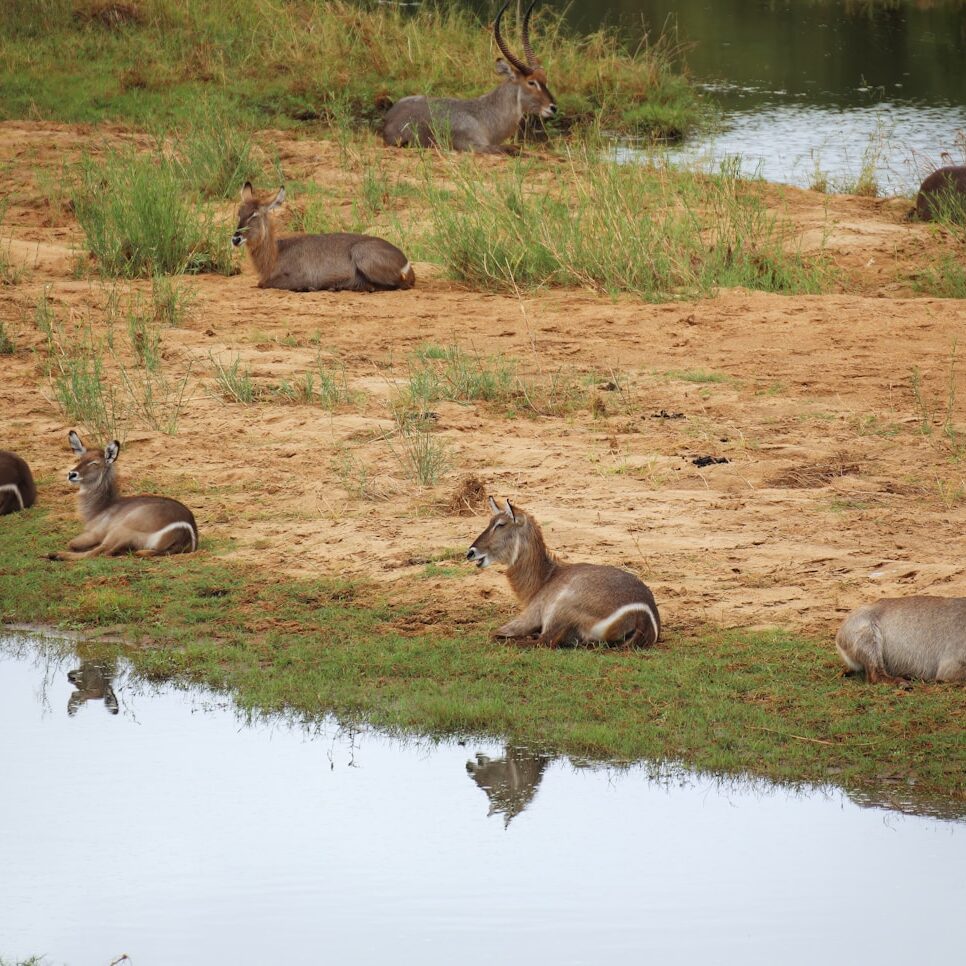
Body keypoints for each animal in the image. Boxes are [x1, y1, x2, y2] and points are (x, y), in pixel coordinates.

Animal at [52, 432, 199, 564]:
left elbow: (72, 543)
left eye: (94, 463)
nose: (72, 474)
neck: (101, 507)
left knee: (101, 551)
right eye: (80, 459)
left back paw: (56, 555)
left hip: (121, 528)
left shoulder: (96, 533)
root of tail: (185, 530)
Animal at [236, 183, 418, 294]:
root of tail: (406, 262)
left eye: (254, 215)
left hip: (361, 254)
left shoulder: (295, 277)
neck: (276, 254)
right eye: (239, 213)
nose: (235, 239)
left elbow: (263, 283)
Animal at [382, 1, 556, 154]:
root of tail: (389, 116)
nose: (553, 107)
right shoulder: (474, 145)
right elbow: (512, 148)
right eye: (531, 82)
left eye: (545, 79)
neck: (484, 116)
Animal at [466, 500, 660, 652]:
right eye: (490, 522)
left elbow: (495, 633)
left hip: (561, 609)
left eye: (500, 524)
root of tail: (643, 613)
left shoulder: (529, 617)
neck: (545, 578)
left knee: (543, 641)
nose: (470, 552)